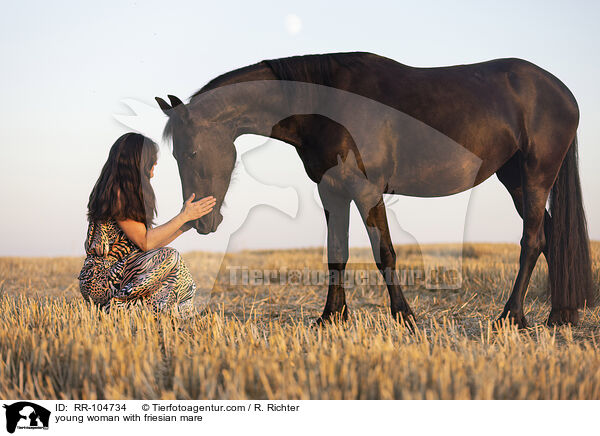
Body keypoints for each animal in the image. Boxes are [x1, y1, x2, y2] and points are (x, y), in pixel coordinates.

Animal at [156, 52, 596, 328]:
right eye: (175, 154)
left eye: (190, 152)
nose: (203, 222)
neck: (324, 103)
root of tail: (562, 92)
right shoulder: (332, 192)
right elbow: (336, 254)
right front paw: (330, 318)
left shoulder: (367, 192)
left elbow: (385, 253)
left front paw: (404, 316)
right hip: (515, 179)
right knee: (551, 237)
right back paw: (560, 316)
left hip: (536, 176)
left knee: (532, 240)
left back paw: (512, 317)